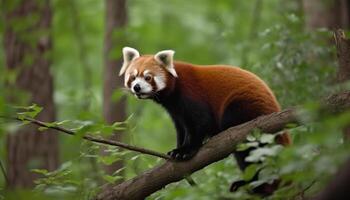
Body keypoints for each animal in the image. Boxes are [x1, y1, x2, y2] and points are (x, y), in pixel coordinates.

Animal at [119, 47, 292, 194]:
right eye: (133, 77)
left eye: (148, 77)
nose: (137, 87)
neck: (174, 89)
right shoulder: (175, 110)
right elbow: (182, 129)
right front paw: (177, 149)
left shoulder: (191, 94)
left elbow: (201, 122)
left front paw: (186, 150)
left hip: (245, 107)